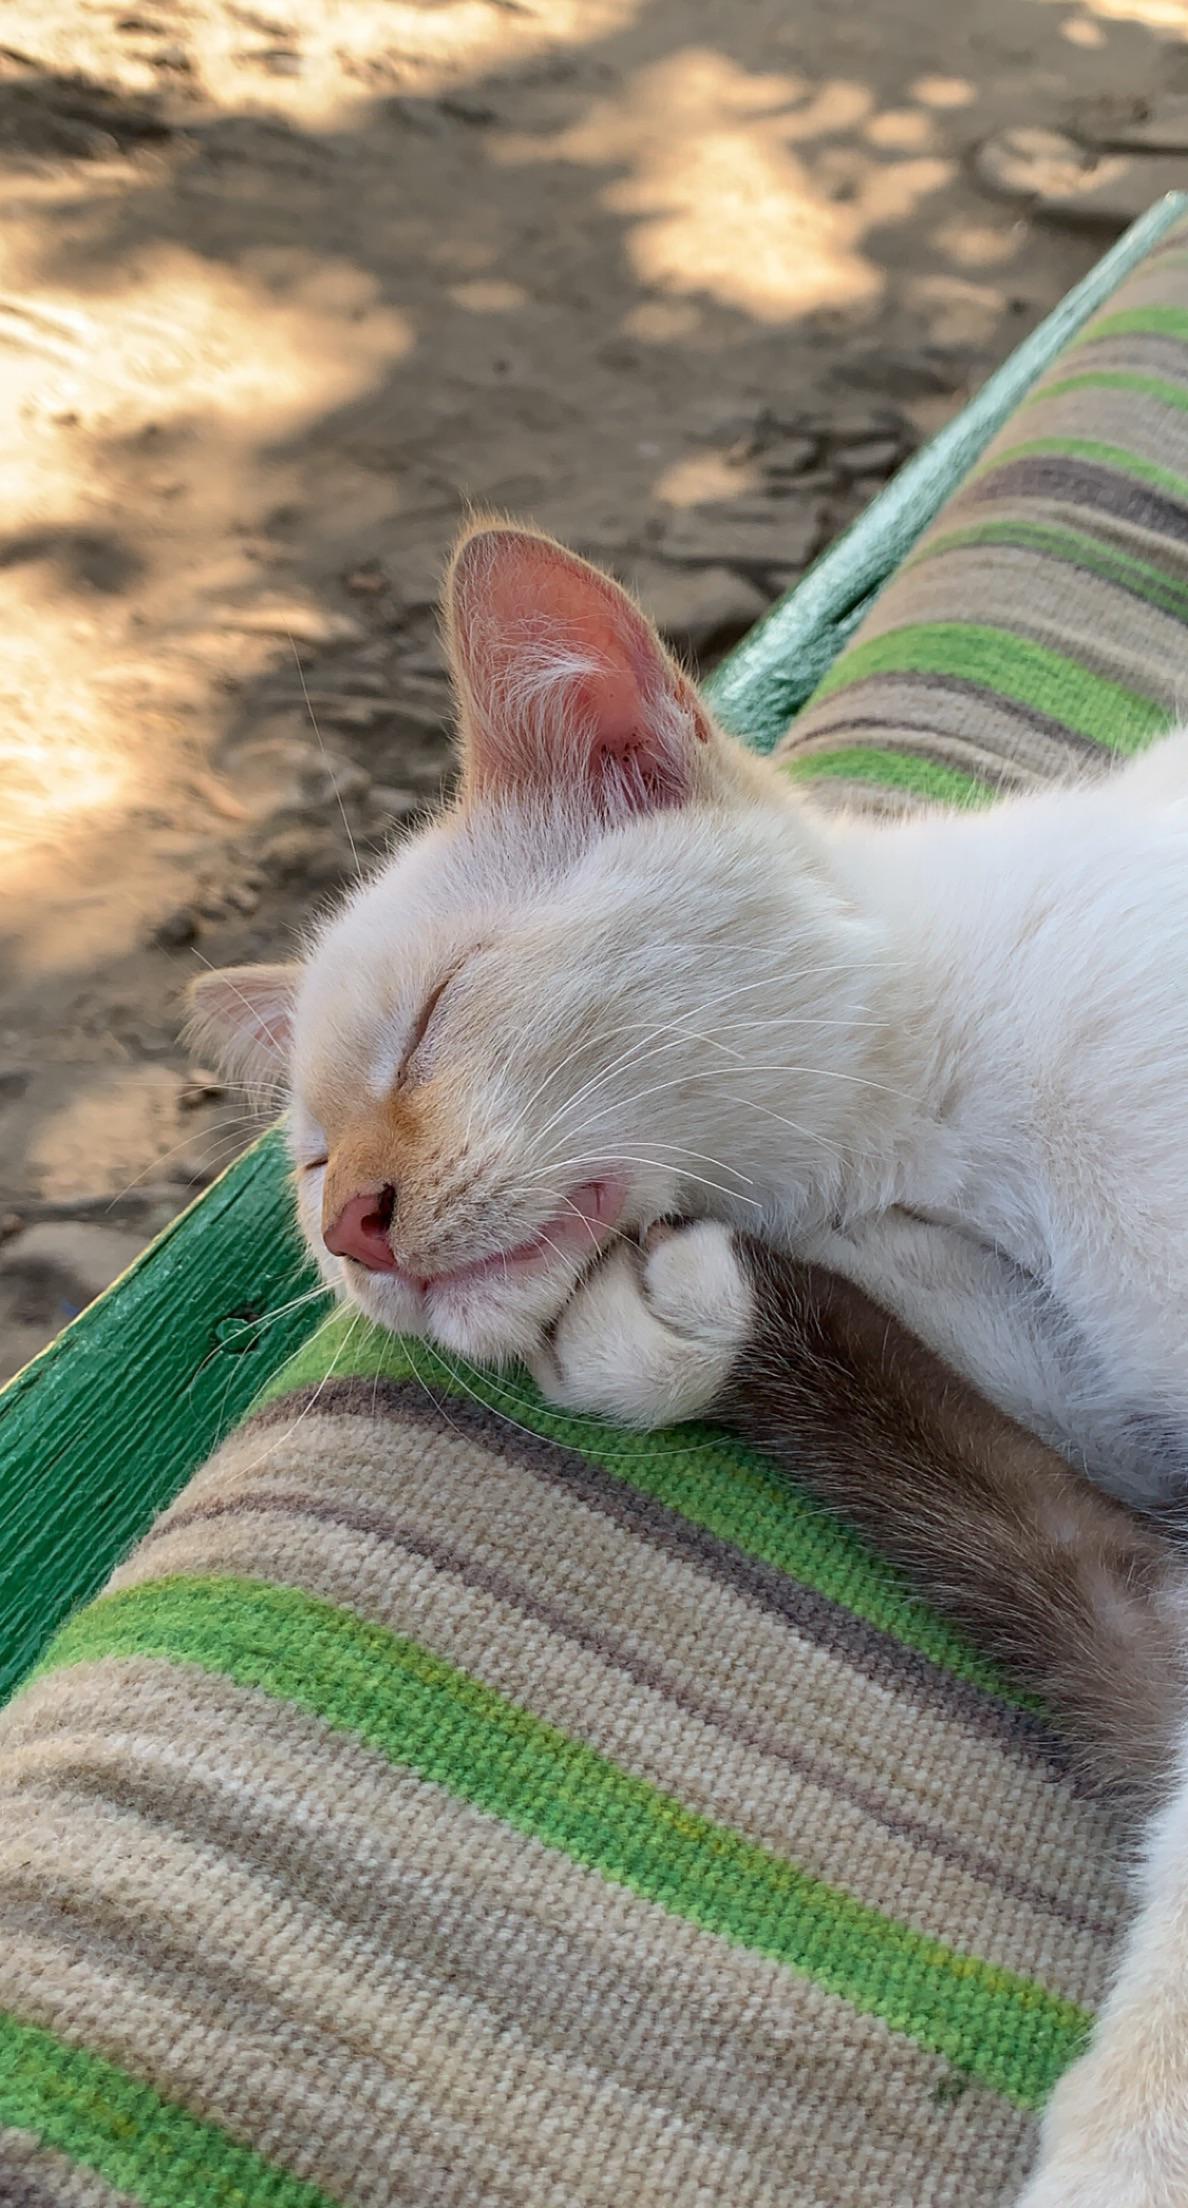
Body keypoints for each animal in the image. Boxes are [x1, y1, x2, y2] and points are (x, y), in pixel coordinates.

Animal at [194, 521, 1188, 2208]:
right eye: (311, 1165)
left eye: (434, 1020)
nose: (354, 1225)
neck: (950, 1135)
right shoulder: (1094, 1385)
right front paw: (665, 1325)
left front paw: (1131, 2148)